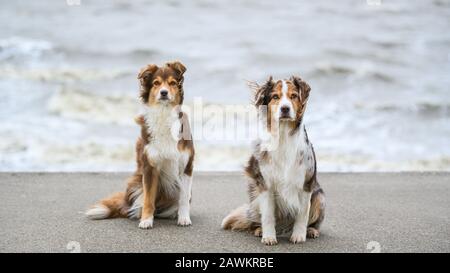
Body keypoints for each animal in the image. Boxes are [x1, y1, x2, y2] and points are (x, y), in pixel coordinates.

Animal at [85, 61, 194, 227]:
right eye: (156, 83)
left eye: (172, 83)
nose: (163, 93)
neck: (164, 114)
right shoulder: (149, 167)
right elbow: (148, 198)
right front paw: (146, 220)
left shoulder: (186, 166)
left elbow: (184, 198)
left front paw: (184, 218)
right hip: (135, 183)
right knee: (136, 204)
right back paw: (139, 214)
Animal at [221, 75, 324, 243]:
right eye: (275, 97)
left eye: (294, 96)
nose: (285, 108)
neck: (283, 136)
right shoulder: (265, 184)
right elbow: (268, 215)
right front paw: (269, 237)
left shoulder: (306, 183)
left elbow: (302, 214)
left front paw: (299, 235)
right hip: (254, 197)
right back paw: (259, 230)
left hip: (320, 197)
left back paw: (311, 230)